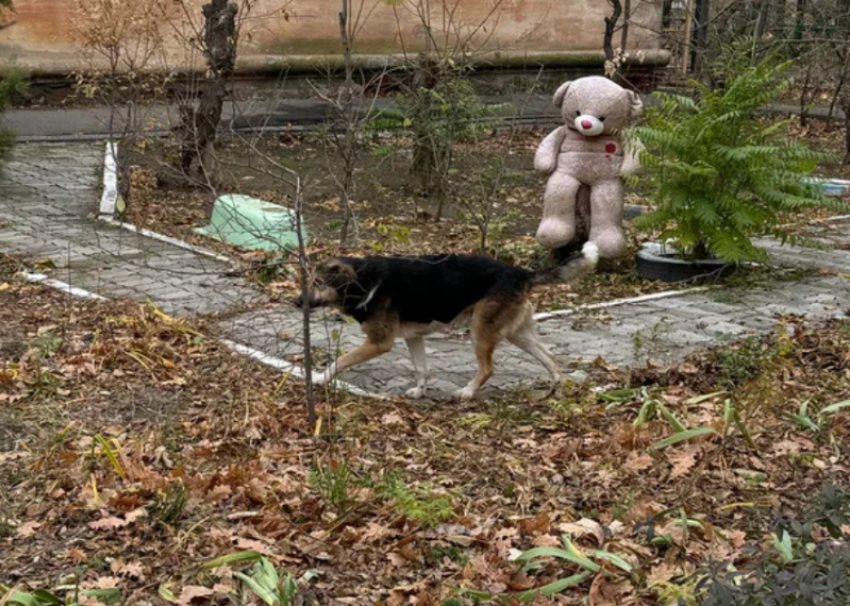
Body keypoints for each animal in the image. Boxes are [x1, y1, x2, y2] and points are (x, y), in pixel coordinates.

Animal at [294, 242, 600, 404]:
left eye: (318, 282)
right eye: (309, 280)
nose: (297, 302)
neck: (363, 281)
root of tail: (521, 273)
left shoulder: (379, 343)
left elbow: (341, 360)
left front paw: (320, 377)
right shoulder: (413, 337)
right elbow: (422, 369)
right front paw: (419, 391)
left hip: (480, 330)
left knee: (488, 368)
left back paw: (467, 391)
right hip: (516, 334)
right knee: (550, 357)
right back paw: (555, 388)